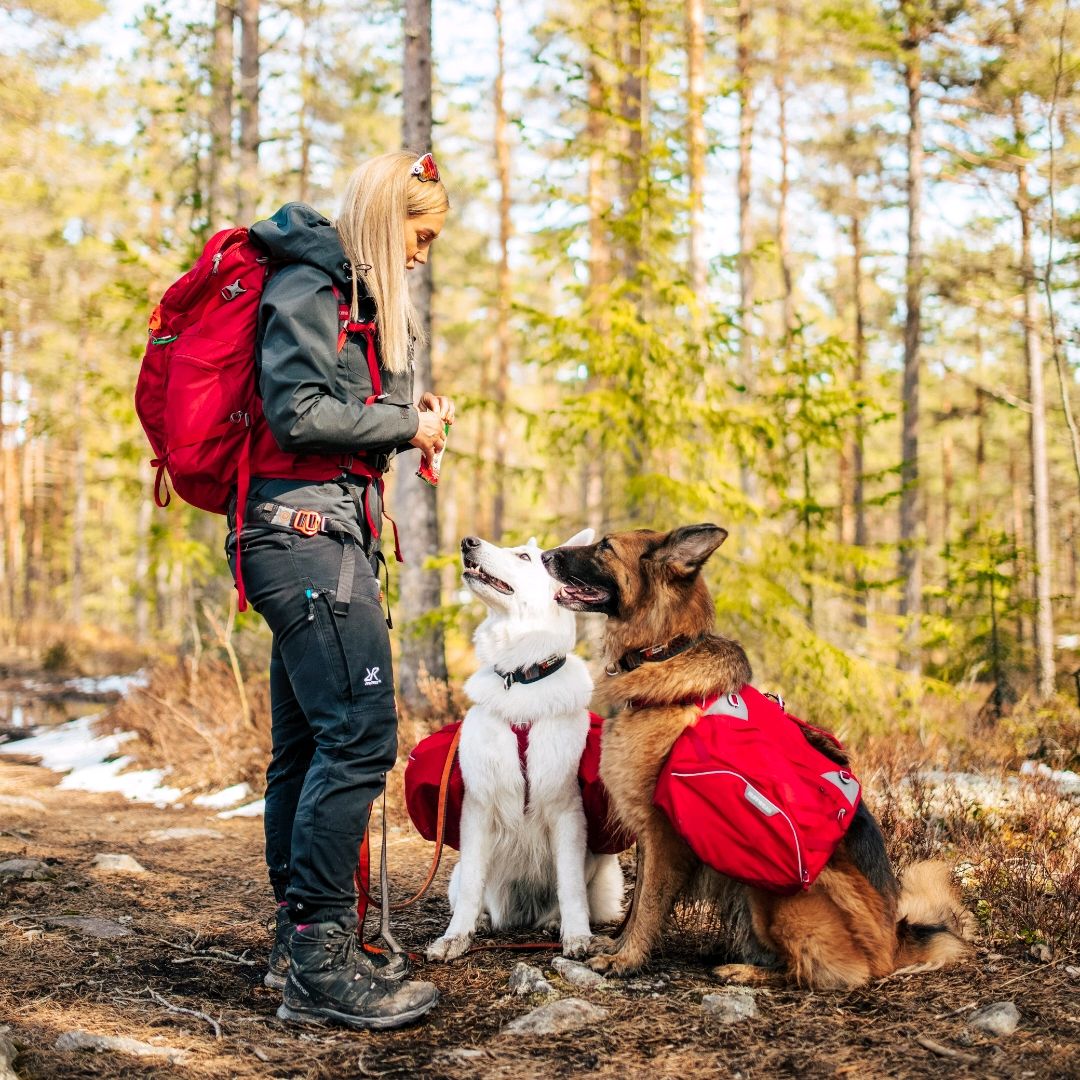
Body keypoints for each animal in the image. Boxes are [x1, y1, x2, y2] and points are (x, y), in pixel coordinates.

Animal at [423, 531, 626, 963]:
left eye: (523, 557)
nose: (467, 542)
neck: (520, 677)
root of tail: (521, 915)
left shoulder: (567, 810)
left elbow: (570, 886)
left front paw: (576, 935)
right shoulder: (477, 809)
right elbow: (471, 888)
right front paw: (455, 937)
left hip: (602, 861)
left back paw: (552, 922)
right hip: (460, 871)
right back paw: (484, 920)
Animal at [544, 522, 976, 989]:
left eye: (605, 547)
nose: (546, 554)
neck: (666, 649)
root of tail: (895, 939)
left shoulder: (662, 833)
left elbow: (649, 904)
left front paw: (627, 960)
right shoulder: (648, 833)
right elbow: (638, 897)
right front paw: (616, 946)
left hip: (772, 884)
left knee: (823, 971)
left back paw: (744, 970)